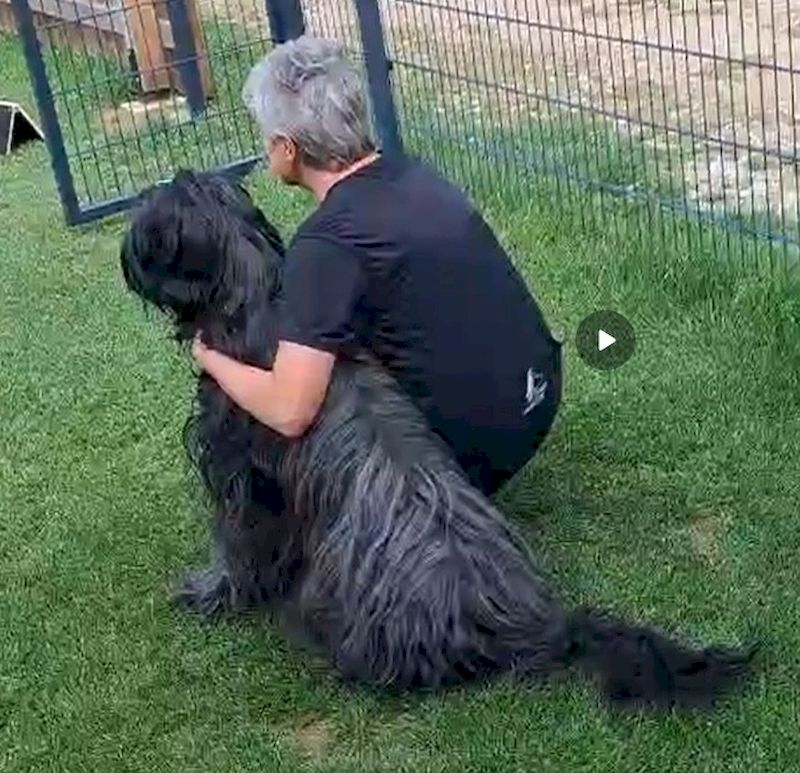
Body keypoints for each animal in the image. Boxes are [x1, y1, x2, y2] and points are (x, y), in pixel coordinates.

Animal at [119, 168, 757, 711]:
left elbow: (234, 544)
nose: (129, 250)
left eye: (152, 211)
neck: (251, 296)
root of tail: (532, 627)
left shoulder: (237, 475)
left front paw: (210, 593)